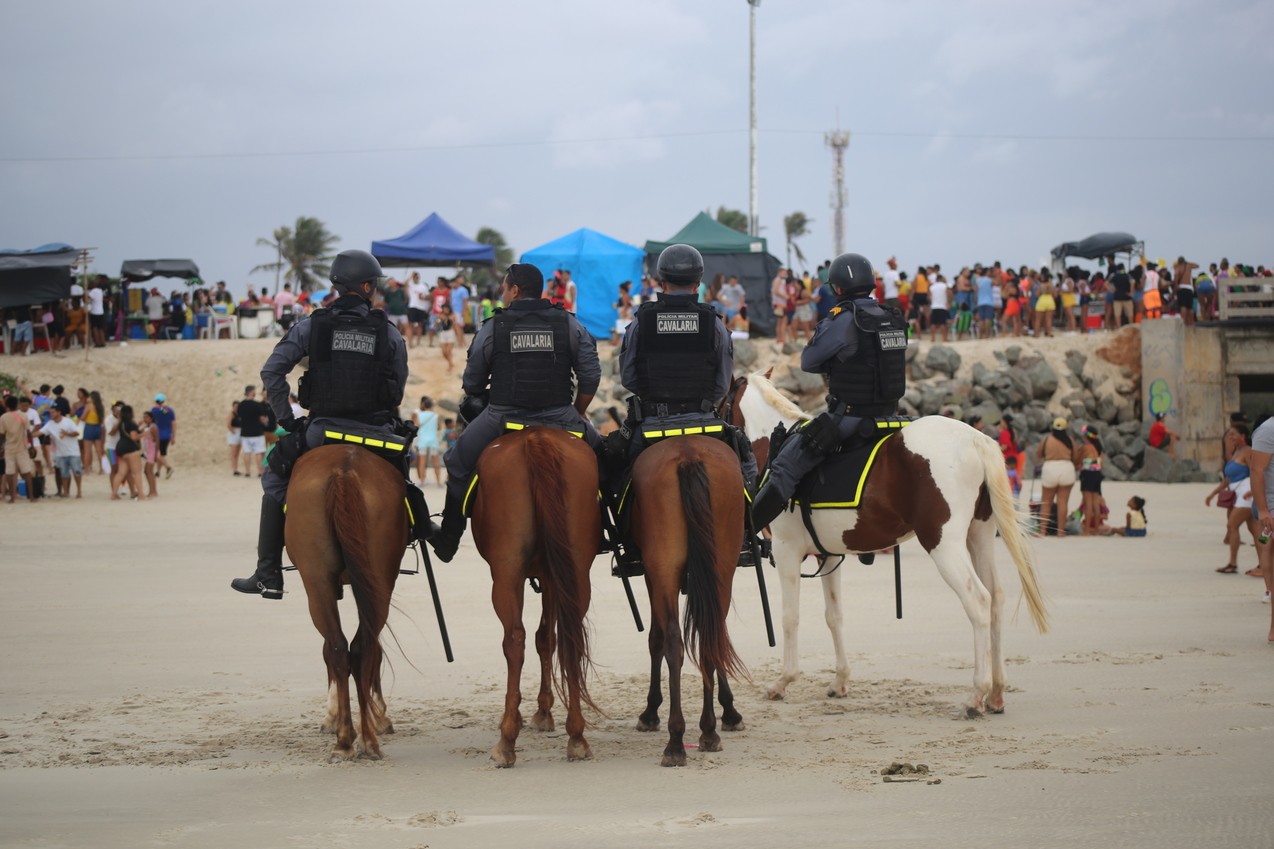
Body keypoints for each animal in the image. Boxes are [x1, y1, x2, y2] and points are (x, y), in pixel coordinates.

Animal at [282, 443, 402, 759]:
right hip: (374, 579)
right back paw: (363, 740)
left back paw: (349, 738)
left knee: (342, 646)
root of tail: (344, 470)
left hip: (319, 583)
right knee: (357, 647)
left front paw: (333, 715)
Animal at [473, 425, 601, 764]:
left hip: (506, 575)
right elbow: (547, 638)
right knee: (569, 637)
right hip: (575, 571)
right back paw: (577, 736)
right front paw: (544, 712)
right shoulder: (554, 578)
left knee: (514, 639)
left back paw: (506, 740)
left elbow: (539, 638)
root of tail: (537, 437)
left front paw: (529, 713)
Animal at [626, 433, 744, 764]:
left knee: (675, 642)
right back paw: (704, 732)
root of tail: (688, 454)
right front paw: (728, 710)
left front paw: (650, 711)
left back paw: (678, 740)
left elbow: (656, 638)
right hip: (719, 564)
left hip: (664, 568)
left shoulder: (652, 575)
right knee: (707, 639)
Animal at [723, 374, 1049, 713]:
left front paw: (784, 680)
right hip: (979, 536)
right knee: (996, 599)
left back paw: (977, 693)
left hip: (944, 545)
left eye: (721, 404)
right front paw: (840, 680)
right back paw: (996, 692)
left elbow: (790, 617)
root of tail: (974, 440)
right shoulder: (828, 556)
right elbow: (834, 615)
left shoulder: (787, 551)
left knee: (979, 601)